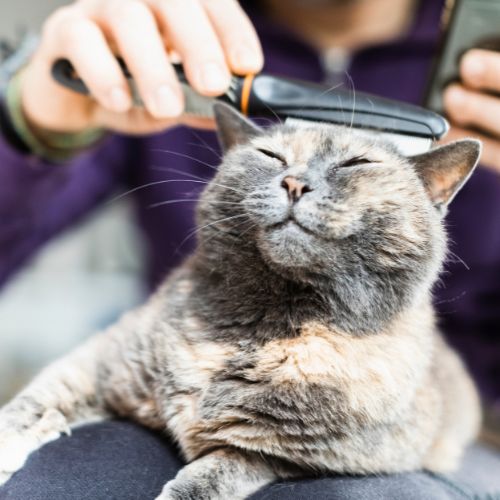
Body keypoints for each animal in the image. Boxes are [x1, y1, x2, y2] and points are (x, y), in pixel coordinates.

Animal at [0, 102, 484, 500]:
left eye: (356, 163)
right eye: (272, 156)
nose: (295, 182)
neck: (264, 323)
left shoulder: (278, 455)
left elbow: (209, 479)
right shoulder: (99, 362)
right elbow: (29, 406)